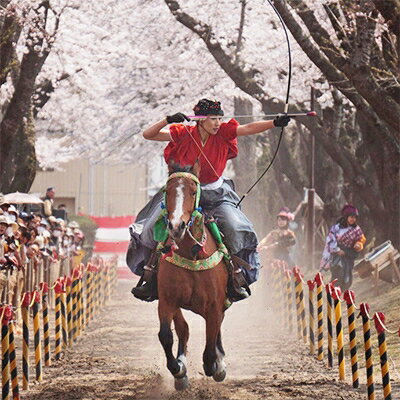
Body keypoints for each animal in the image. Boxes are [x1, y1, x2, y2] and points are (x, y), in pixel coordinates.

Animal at [158, 161, 230, 390]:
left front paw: (216, 366)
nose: (176, 226)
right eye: (167, 191)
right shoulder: (167, 300)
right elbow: (166, 335)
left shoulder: (214, 305)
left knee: (215, 332)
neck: (192, 253)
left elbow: (210, 346)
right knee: (184, 329)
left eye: (192, 191)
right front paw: (178, 370)